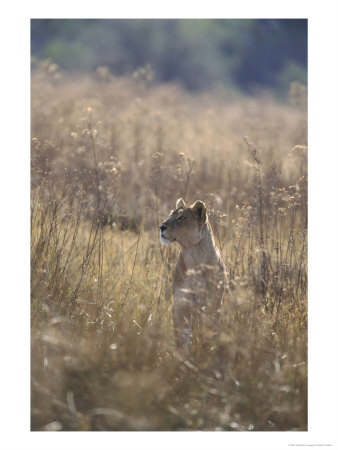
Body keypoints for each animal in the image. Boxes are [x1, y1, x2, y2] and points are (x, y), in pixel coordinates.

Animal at [158, 199, 227, 354]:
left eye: (181, 218)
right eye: (171, 214)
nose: (161, 227)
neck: (193, 255)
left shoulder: (209, 304)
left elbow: (202, 333)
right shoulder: (180, 303)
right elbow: (181, 335)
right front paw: (181, 355)